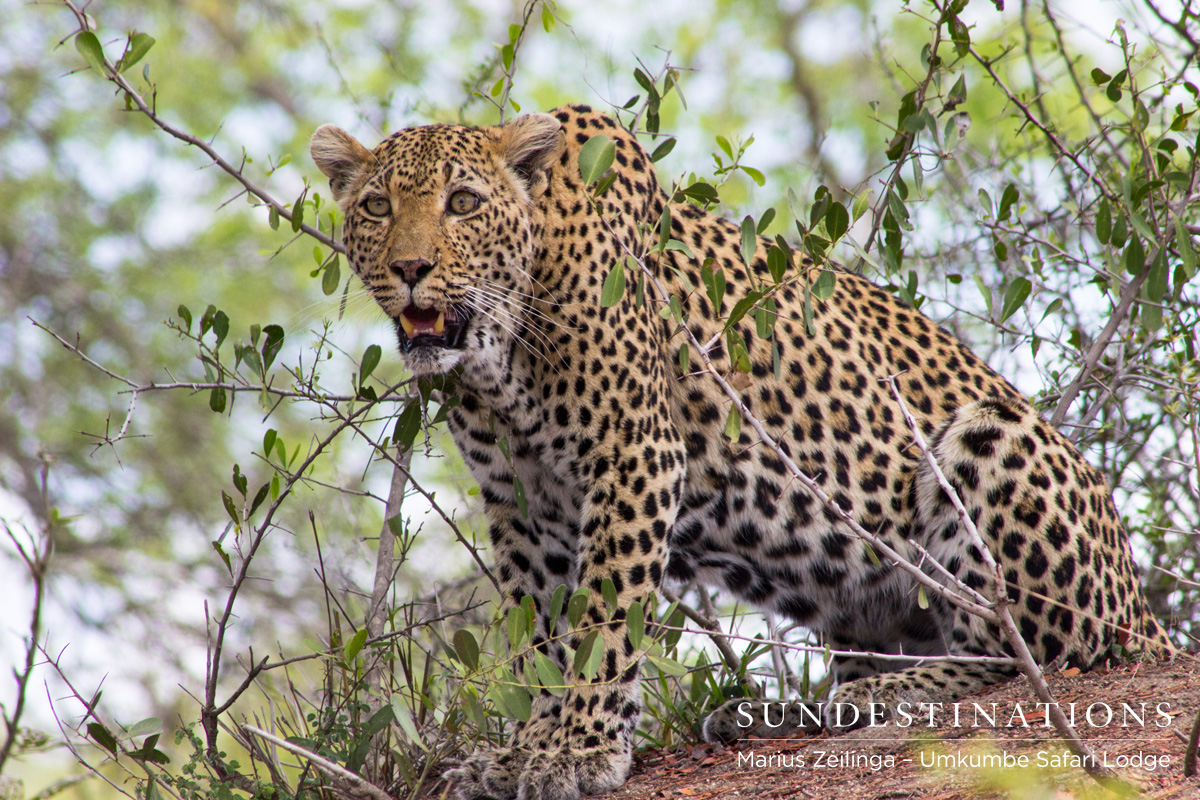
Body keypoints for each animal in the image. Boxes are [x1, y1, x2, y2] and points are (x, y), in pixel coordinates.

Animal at [310, 104, 1174, 800]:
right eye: (377, 207)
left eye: (462, 203)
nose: (411, 269)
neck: (501, 352)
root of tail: (1143, 608)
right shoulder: (523, 502)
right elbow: (541, 635)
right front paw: (526, 746)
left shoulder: (632, 453)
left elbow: (605, 618)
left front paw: (577, 749)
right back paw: (775, 710)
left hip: (991, 441)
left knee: (1038, 651)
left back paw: (885, 694)